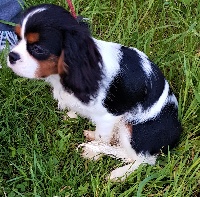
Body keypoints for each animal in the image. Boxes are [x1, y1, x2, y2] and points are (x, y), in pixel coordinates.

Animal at [7, 3, 181, 181]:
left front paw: (93, 152)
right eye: (17, 38)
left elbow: (102, 137)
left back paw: (118, 173)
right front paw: (73, 117)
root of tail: (177, 131)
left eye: (38, 49)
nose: (11, 56)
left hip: (134, 129)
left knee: (142, 160)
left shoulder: (108, 117)